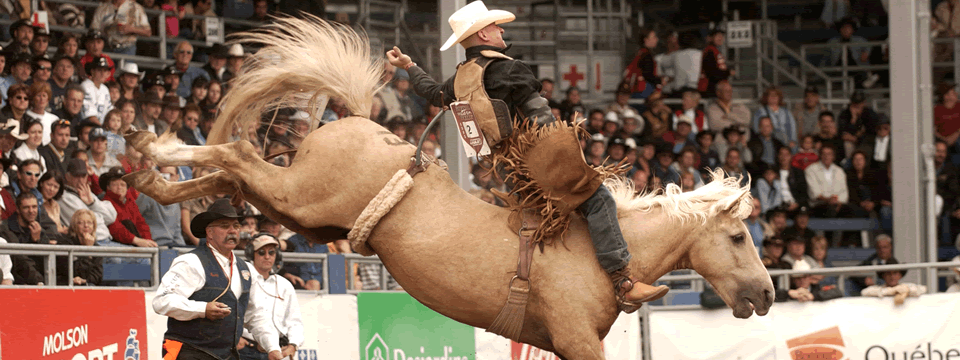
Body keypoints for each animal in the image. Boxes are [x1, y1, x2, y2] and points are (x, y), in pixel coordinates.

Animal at [125, 16, 772, 360]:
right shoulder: (578, 340)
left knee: (229, 174)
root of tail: (360, 122)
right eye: (739, 237)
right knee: (236, 154)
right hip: (301, 199)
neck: (596, 253)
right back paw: (150, 145)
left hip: (304, 212)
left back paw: (152, 174)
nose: (766, 294)